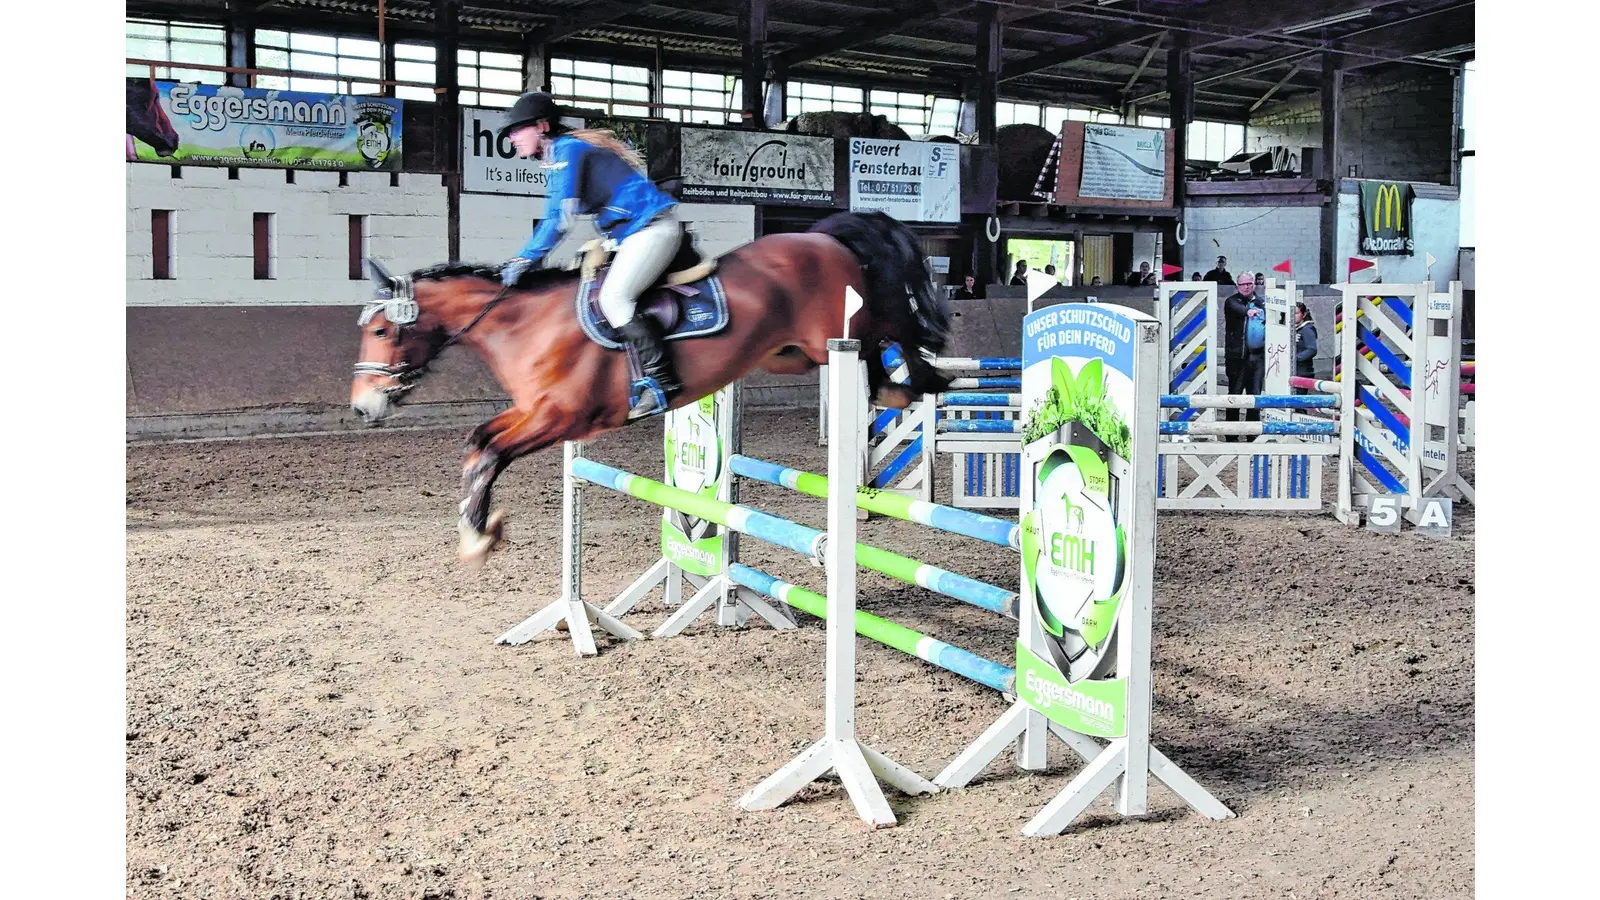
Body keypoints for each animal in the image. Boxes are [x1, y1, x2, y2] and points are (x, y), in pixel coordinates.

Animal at [350, 206, 947, 563]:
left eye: (380, 331)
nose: (361, 409)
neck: (526, 325)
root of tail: (821, 237)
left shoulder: (561, 417)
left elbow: (493, 454)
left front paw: (479, 536)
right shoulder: (532, 410)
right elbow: (479, 444)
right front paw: (477, 526)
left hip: (836, 333)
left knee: (890, 331)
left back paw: (921, 378)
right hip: (790, 356)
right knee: (874, 353)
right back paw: (900, 387)